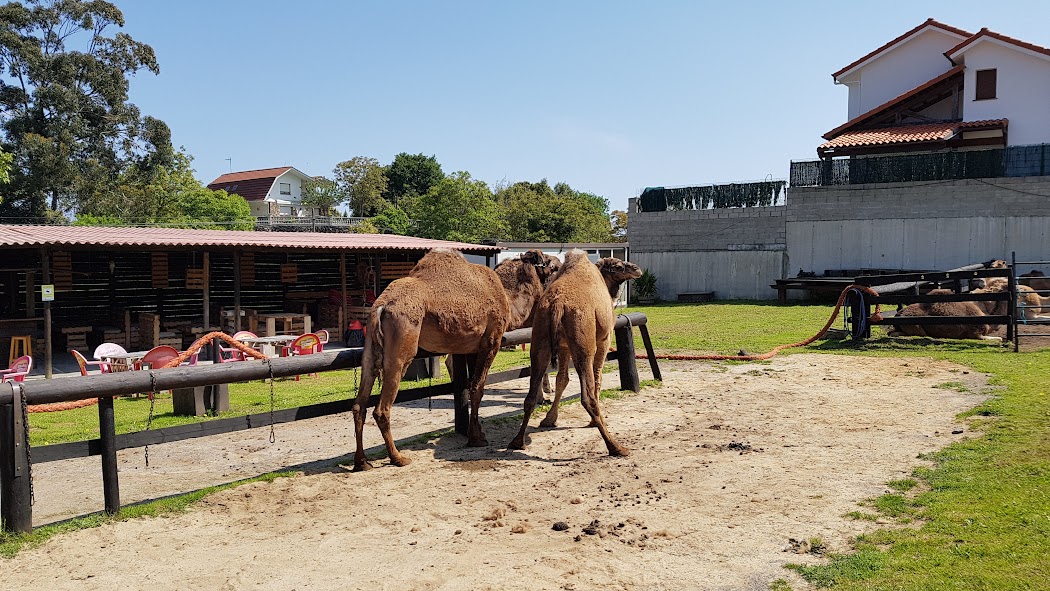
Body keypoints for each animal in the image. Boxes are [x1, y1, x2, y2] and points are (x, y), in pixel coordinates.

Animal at [350, 249, 510, 472]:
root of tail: (380, 306)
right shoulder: (491, 341)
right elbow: (478, 388)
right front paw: (476, 439)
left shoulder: (474, 347)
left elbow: (472, 387)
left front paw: (477, 433)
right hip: (401, 349)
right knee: (382, 409)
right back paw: (398, 458)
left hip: (369, 350)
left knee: (359, 405)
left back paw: (362, 462)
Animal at [508, 249, 638, 457]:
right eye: (619, 266)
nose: (637, 269)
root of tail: (558, 305)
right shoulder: (604, 338)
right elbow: (598, 377)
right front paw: (591, 421)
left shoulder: (563, 346)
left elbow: (562, 380)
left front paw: (549, 419)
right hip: (583, 345)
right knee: (587, 397)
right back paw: (616, 447)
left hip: (540, 340)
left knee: (530, 395)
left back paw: (517, 442)